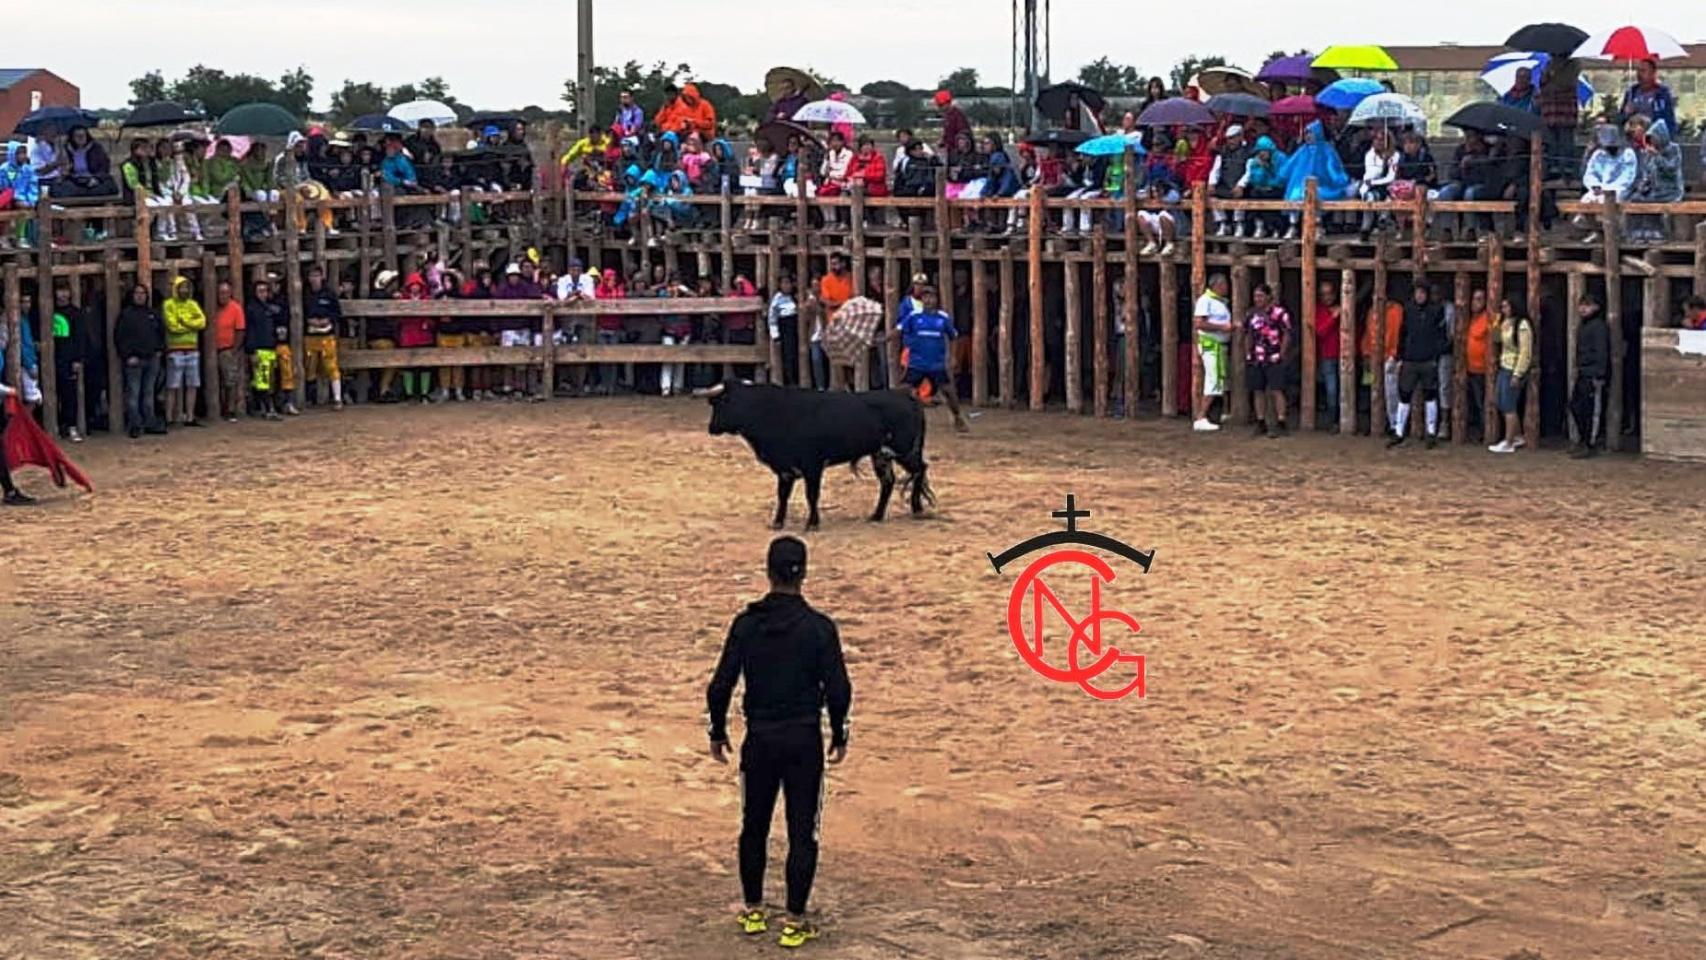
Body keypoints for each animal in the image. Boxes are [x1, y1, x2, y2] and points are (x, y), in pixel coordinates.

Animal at [699, 383, 941, 532]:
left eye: (720, 403)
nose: (711, 428)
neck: (771, 411)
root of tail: (905, 396)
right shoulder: (785, 470)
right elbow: (782, 496)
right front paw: (777, 523)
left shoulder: (812, 466)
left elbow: (811, 495)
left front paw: (812, 524)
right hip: (881, 455)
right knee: (889, 481)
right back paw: (877, 515)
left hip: (904, 450)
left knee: (920, 469)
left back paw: (917, 508)